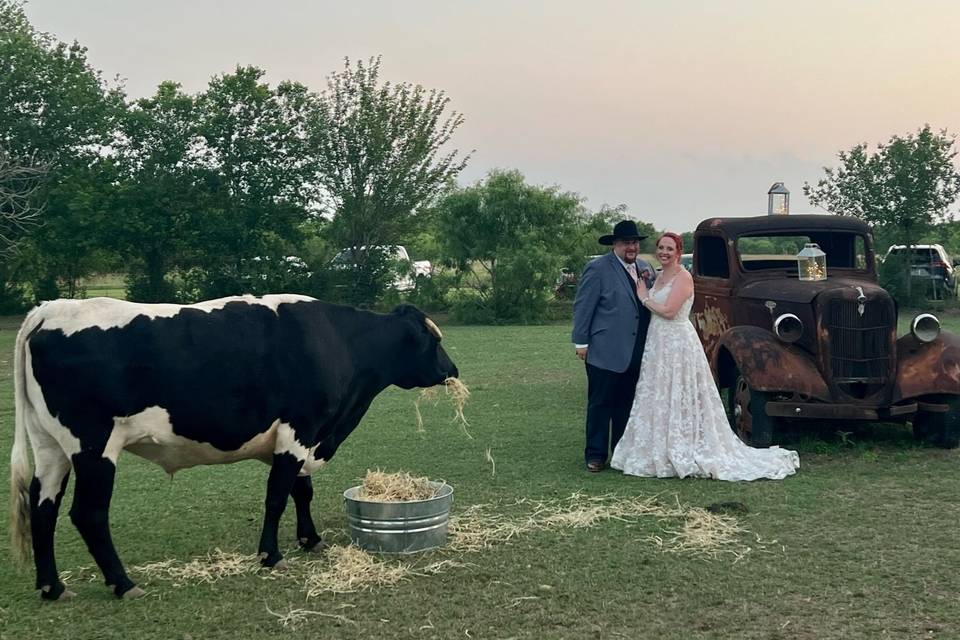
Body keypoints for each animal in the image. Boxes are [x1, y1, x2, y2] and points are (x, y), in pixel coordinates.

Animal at [7, 294, 458, 600]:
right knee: (88, 514)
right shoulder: (299, 430)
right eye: (433, 342)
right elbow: (277, 496)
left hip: (51, 447)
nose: (452, 370)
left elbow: (302, 491)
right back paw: (122, 583)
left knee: (42, 509)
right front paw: (270, 555)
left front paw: (310, 540)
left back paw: (51, 586)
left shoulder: (302, 437)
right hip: (94, 447)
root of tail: (50, 309)